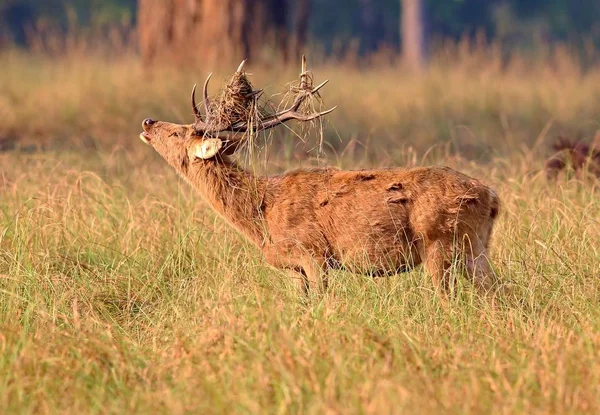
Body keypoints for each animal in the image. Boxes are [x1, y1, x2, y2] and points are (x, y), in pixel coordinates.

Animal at [138, 57, 500, 296]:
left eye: (179, 133)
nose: (148, 121)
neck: (260, 217)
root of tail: (492, 197)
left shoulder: (313, 252)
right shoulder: (292, 267)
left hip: (441, 242)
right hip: (475, 247)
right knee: (497, 292)